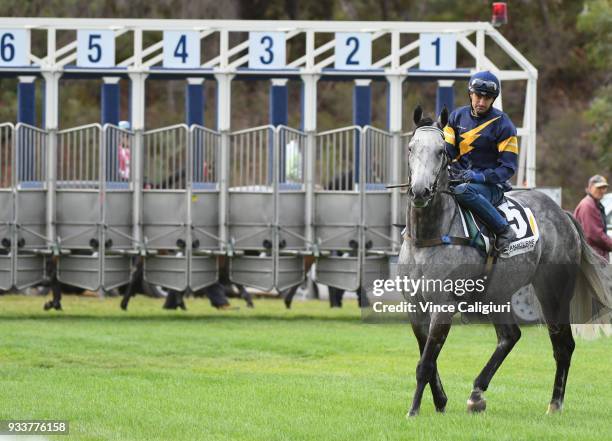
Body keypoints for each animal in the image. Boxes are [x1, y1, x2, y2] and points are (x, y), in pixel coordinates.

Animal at [400, 105, 608, 416]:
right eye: (411, 148)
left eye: (441, 151)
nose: (420, 191)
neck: (430, 237)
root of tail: (563, 214)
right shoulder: (415, 305)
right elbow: (428, 358)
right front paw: (440, 401)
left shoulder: (445, 306)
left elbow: (426, 363)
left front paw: (413, 410)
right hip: (496, 293)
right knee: (510, 336)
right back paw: (477, 394)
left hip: (553, 292)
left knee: (563, 344)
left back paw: (554, 404)